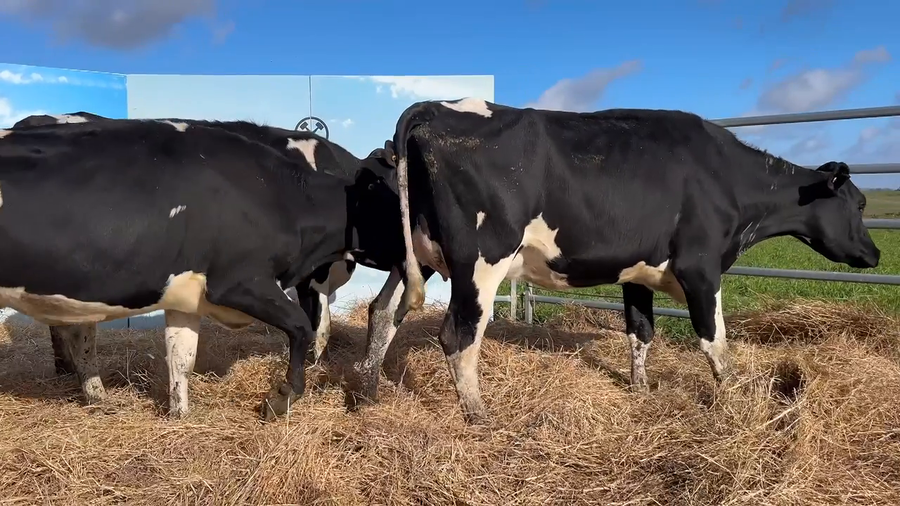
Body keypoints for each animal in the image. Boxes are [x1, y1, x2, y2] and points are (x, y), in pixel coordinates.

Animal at [0, 118, 401, 420]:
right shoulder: (241, 281)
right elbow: (306, 327)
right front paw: (280, 397)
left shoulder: (186, 294)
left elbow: (181, 358)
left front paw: (180, 415)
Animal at [365, 97, 880, 424]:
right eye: (859, 204)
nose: (875, 253)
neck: (727, 178)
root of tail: (437, 106)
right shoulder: (700, 268)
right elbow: (715, 343)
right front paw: (736, 402)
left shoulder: (637, 272)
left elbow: (641, 331)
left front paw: (640, 390)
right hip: (480, 262)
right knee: (458, 335)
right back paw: (479, 417)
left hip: (415, 256)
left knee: (383, 313)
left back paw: (367, 395)